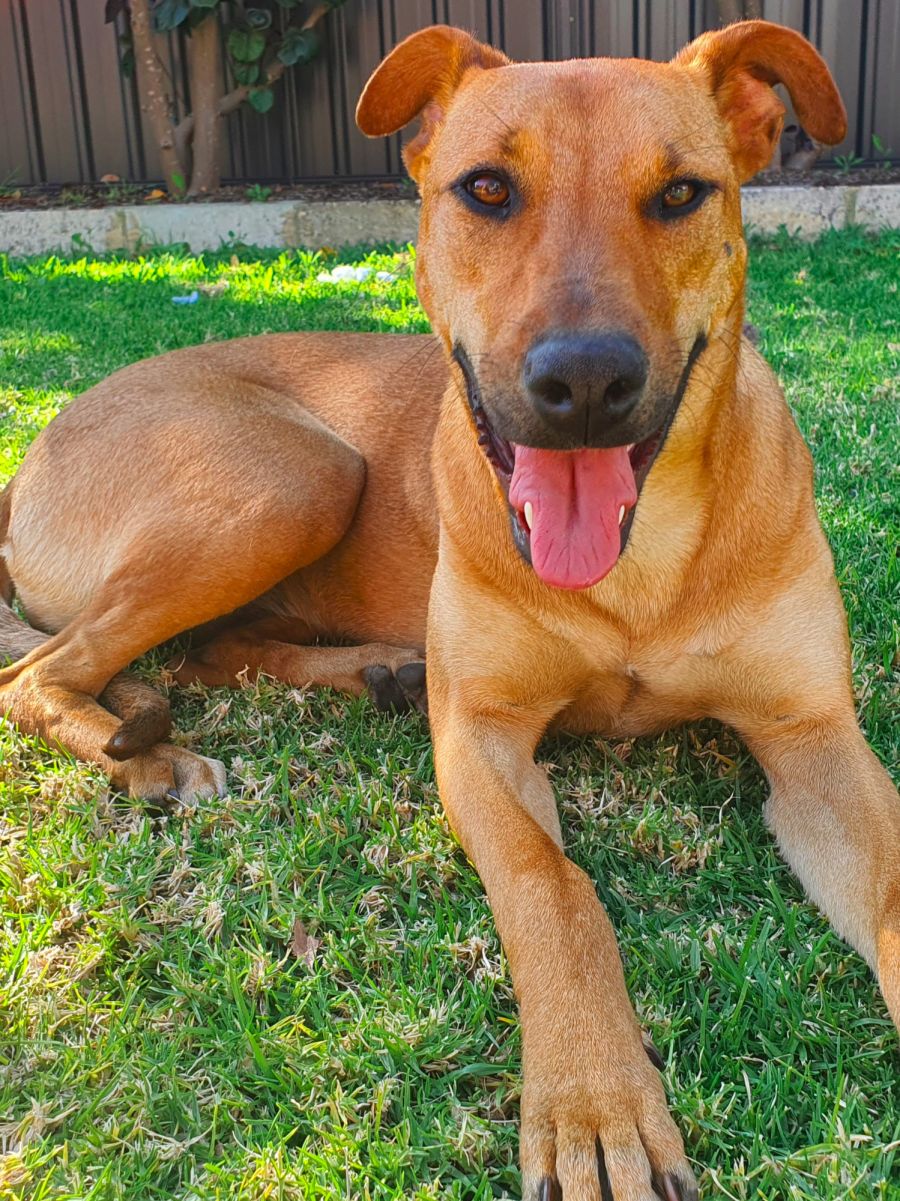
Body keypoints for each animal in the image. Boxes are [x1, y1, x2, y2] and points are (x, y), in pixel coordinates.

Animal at [2, 19, 898, 1200]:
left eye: (680, 194)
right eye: (486, 189)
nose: (585, 383)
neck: (636, 563)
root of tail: (30, 457)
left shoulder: (813, 736)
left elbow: (890, 885)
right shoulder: (481, 739)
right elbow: (554, 886)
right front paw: (594, 1103)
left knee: (200, 651)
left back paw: (371, 669)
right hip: (293, 473)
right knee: (41, 672)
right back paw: (152, 759)